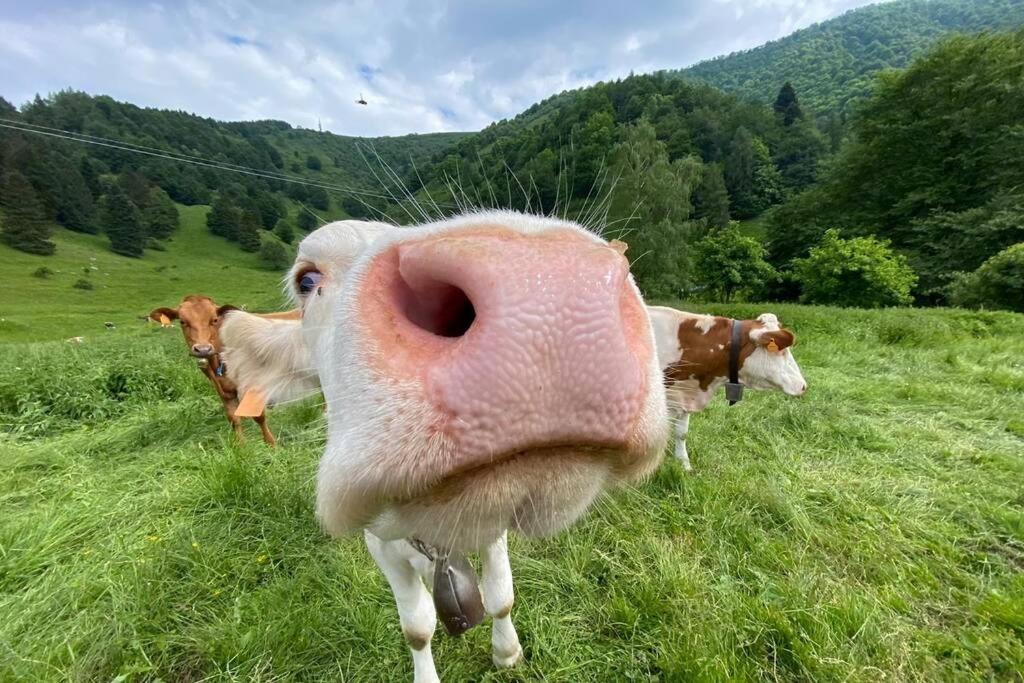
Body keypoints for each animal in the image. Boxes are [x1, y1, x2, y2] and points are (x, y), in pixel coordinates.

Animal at [148, 294, 305, 446]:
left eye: (214, 320)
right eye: (182, 321)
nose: (203, 349)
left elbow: (258, 416)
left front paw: (272, 445)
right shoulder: (222, 390)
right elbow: (233, 418)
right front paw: (241, 447)